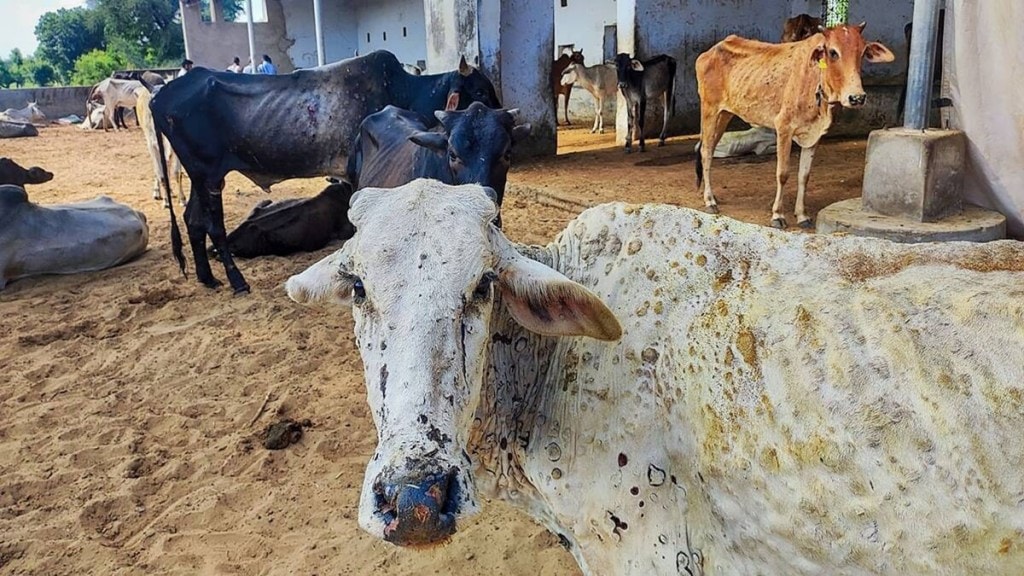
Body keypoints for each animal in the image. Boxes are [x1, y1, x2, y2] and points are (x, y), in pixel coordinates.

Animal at [696, 24, 894, 228]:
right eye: (833, 52)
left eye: (862, 53)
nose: (857, 97)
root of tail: (710, 51)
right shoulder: (784, 128)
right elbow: (783, 173)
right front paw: (778, 215)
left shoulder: (814, 136)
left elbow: (804, 176)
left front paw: (802, 216)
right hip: (709, 110)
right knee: (706, 152)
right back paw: (709, 201)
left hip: (724, 114)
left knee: (709, 149)